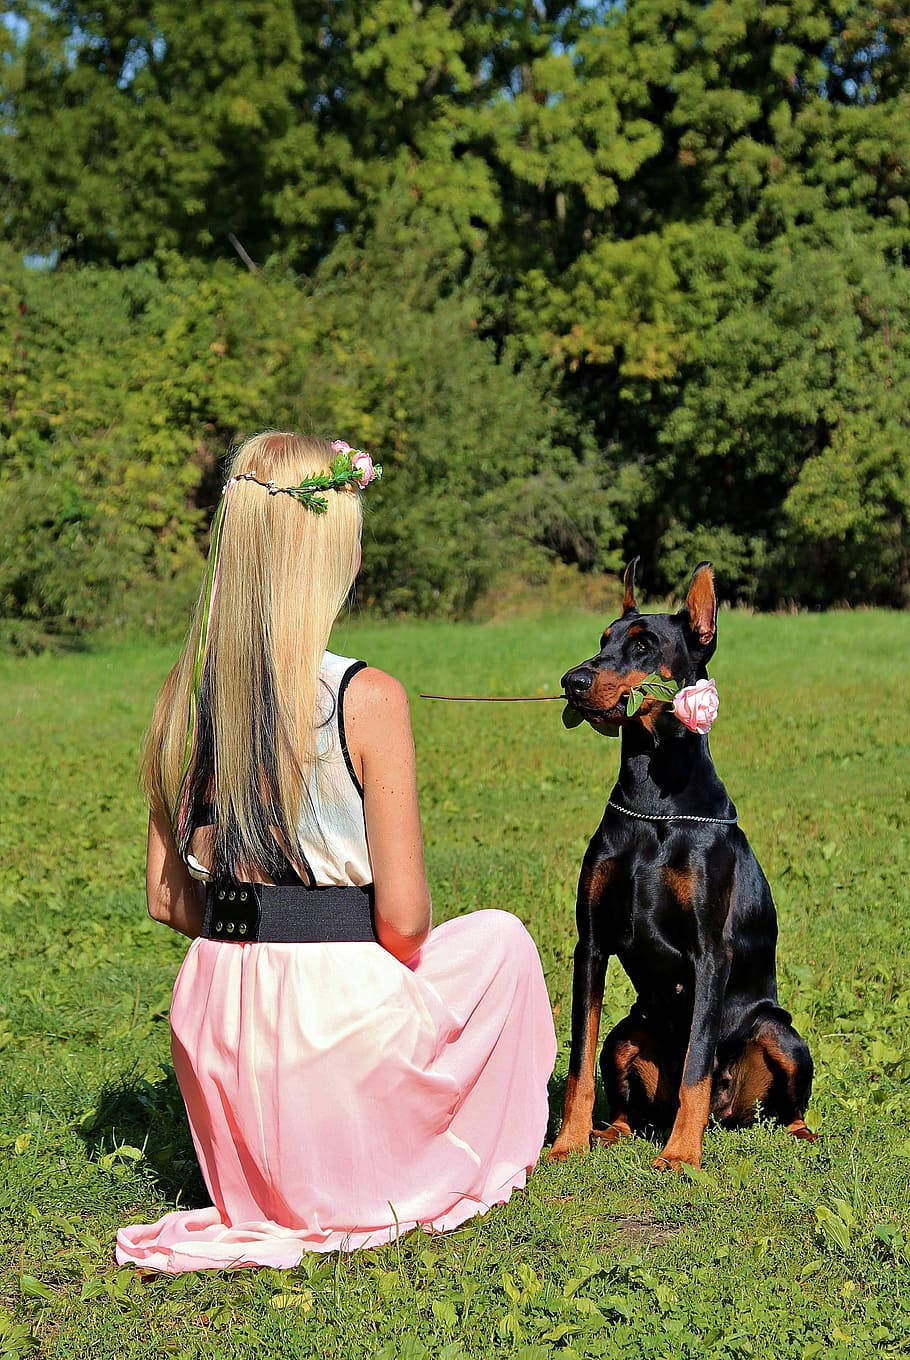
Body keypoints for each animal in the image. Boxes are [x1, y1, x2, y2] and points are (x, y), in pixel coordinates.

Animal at [546, 563, 816, 1169]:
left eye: (644, 645)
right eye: (603, 640)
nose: (573, 680)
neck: (654, 802)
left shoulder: (710, 952)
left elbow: (697, 1063)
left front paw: (681, 1157)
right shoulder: (590, 944)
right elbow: (577, 1062)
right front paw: (567, 1142)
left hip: (780, 1034)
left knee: (775, 1103)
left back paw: (797, 1135)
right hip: (627, 1033)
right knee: (628, 1103)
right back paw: (608, 1132)